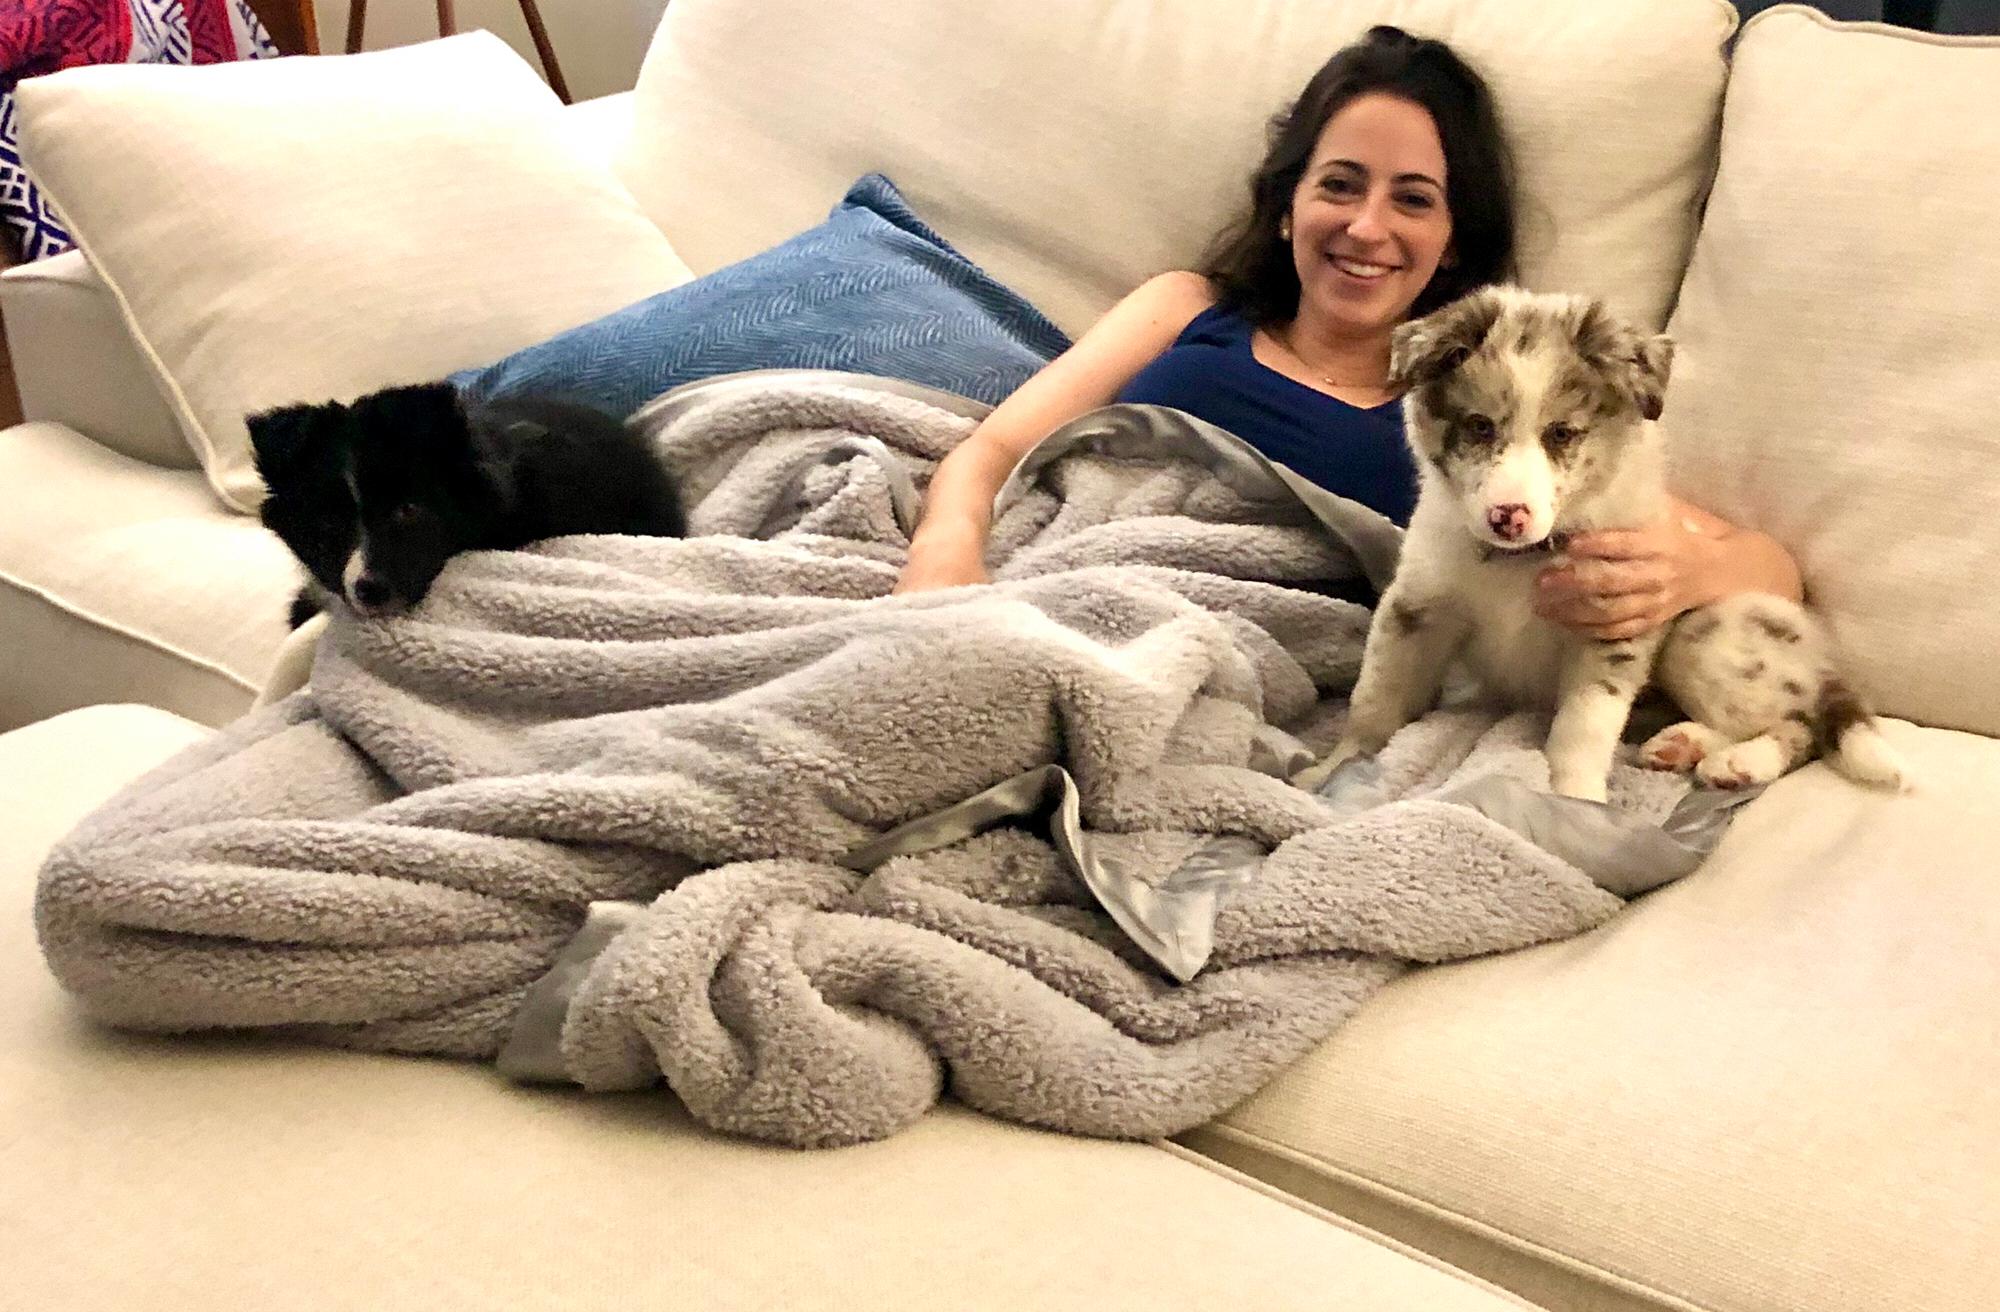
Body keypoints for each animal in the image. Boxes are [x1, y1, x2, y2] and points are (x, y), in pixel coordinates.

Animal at [1292, 285, 1907, 802]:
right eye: (1480, 426)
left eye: (1561, 434)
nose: (1507, 518)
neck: (1522, 563)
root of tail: (1822, 658)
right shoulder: (1419, 608)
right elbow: (1376, 701)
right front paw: (1332, 771)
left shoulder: (1614, 630)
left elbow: (1582, 729)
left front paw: (1577, 802)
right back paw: (1683, 745)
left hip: (1709, 633)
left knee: (1799, 722)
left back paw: (1740, 763)